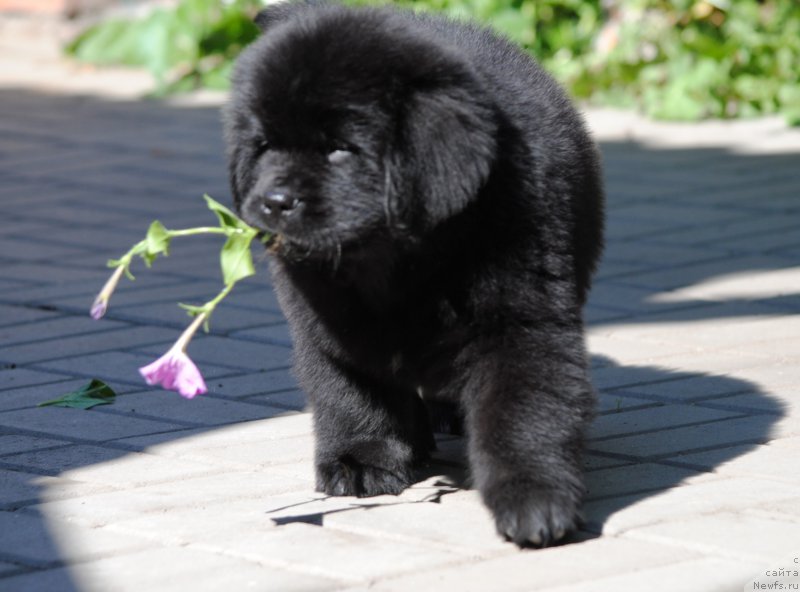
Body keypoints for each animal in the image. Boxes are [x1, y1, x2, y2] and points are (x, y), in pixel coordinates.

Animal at [222, 0, 604, 548]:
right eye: (264, 145)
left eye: (340, 148)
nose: (274, 202)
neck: (398, 262)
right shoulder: (327, 318)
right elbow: (350, 385)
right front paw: (361, 459)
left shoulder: (521, 313)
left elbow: (524, 406)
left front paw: (535, 500)